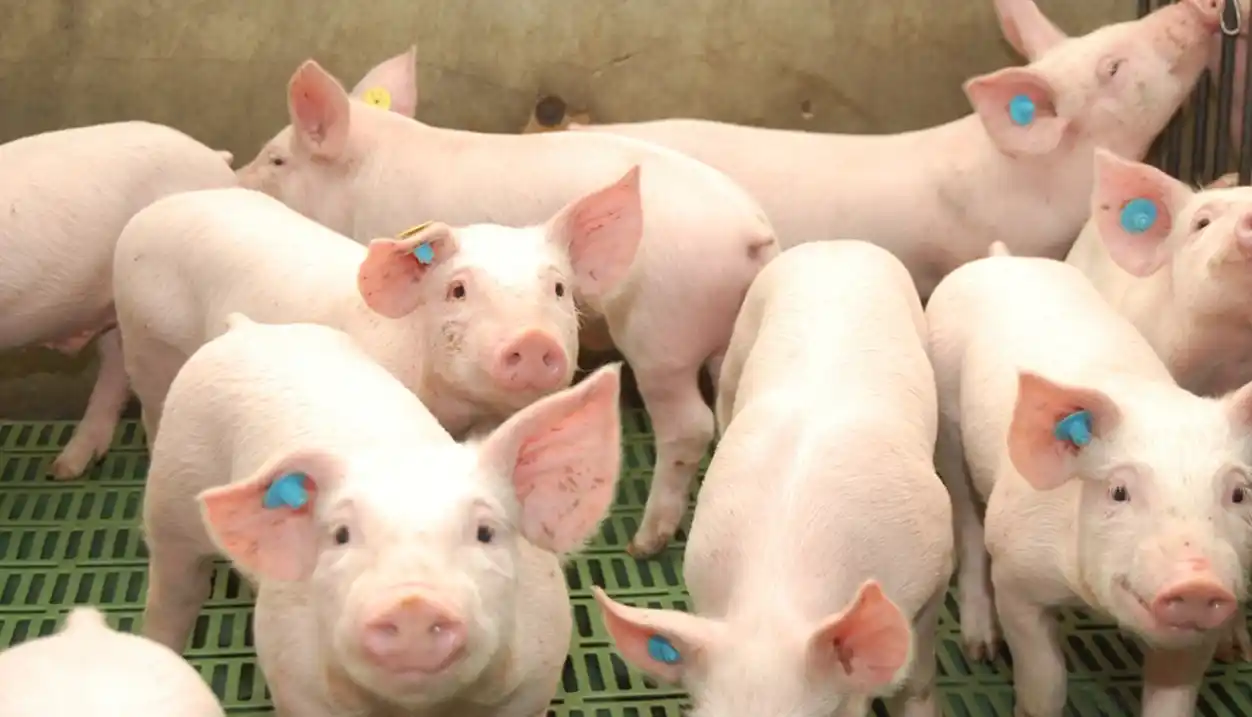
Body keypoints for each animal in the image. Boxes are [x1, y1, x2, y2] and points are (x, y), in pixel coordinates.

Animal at [112, 180, 641, 443]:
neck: (458, 409)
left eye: (559, 289)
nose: (532, 340)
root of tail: (146, 216)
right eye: (457, 290)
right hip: (144, 339)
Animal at [141, 314, 623, 717]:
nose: (412, 602)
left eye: (486, 532)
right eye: (341, 535)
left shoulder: (535, 681)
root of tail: (247, 327)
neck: (419, 710)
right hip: (170, 491)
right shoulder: (294, 680)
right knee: (172, 590)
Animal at [234, 49, 780, 558]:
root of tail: (753, 231)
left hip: (662, 333)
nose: (234, 177)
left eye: (277, 159)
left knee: (689, 426)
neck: (361, 174)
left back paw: (642, 544)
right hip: (722, 336)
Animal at [926, 253, 1252, 717]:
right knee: (968, 521)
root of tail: (1001, 256)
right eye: (1119, 491)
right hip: (949, 422)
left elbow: (1173, 697)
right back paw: (982, 649)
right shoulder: (1016, 576)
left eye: (1238, 493)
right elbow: (1045, 683)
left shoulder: (1196, 633)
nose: (1197, 581)